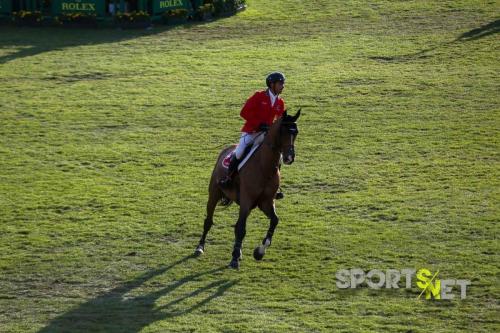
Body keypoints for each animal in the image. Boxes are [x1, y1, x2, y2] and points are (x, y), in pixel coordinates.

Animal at [193, 109, 298, 268]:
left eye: (296, 132)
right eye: (283, 131)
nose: (289, 158)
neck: (264, 167)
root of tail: (228, 149)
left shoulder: (266, 202)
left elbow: (274, 221)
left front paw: (260, 251)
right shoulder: (247, 200)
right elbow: (241, 229)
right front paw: (235, 258)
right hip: (214, 194)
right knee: (208, 221)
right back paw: (200, 247)